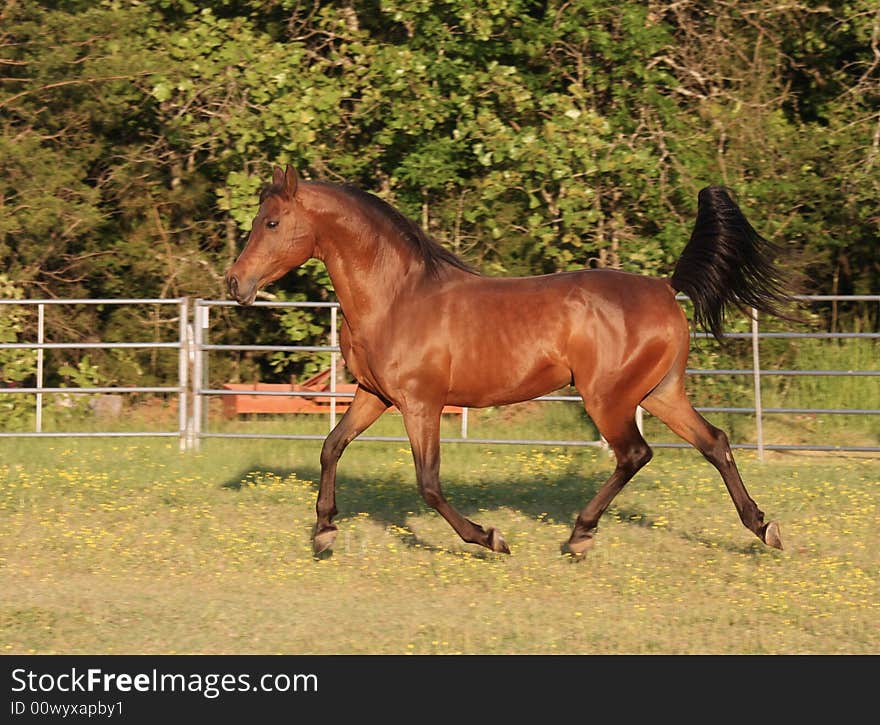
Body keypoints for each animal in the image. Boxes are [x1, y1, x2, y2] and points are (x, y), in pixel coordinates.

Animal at [223, 165, 788, 556]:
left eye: (271, 222)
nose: (234, 283)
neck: (396, 297)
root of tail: (665, 287)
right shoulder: (374, 395)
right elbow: (331, 447)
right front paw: (324, 532)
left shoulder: (421, 404)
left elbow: (429, 484)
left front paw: (490, 538)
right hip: (660, 392)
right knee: (714, 442)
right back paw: (763, 527)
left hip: (608, 399)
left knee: (635, 454)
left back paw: (579, 536)